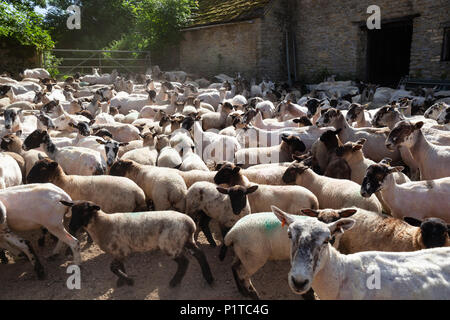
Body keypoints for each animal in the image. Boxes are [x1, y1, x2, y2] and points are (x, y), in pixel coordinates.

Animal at [61, 200, 214, 288]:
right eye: (72, 211)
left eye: (84, 211)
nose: (72, 227)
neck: (103, 224)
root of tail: (190, 223)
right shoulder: (119, 252)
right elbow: (119, 266)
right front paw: (123, 280)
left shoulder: (121, 250)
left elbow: (113, 268)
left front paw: (128, 280)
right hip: (186, 240)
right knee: (200, 254)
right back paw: (209, 278)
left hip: (170, 244)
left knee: (184, 262)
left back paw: (174, 282)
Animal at [225, 206, 358, 298]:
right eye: (319, 218)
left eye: (336, 219)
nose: (331, 239)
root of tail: (232, 233)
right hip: (253, 258)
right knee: (244, 275)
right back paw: (252, 294)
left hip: (242, 253)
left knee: (234, 267)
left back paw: (242, 291)